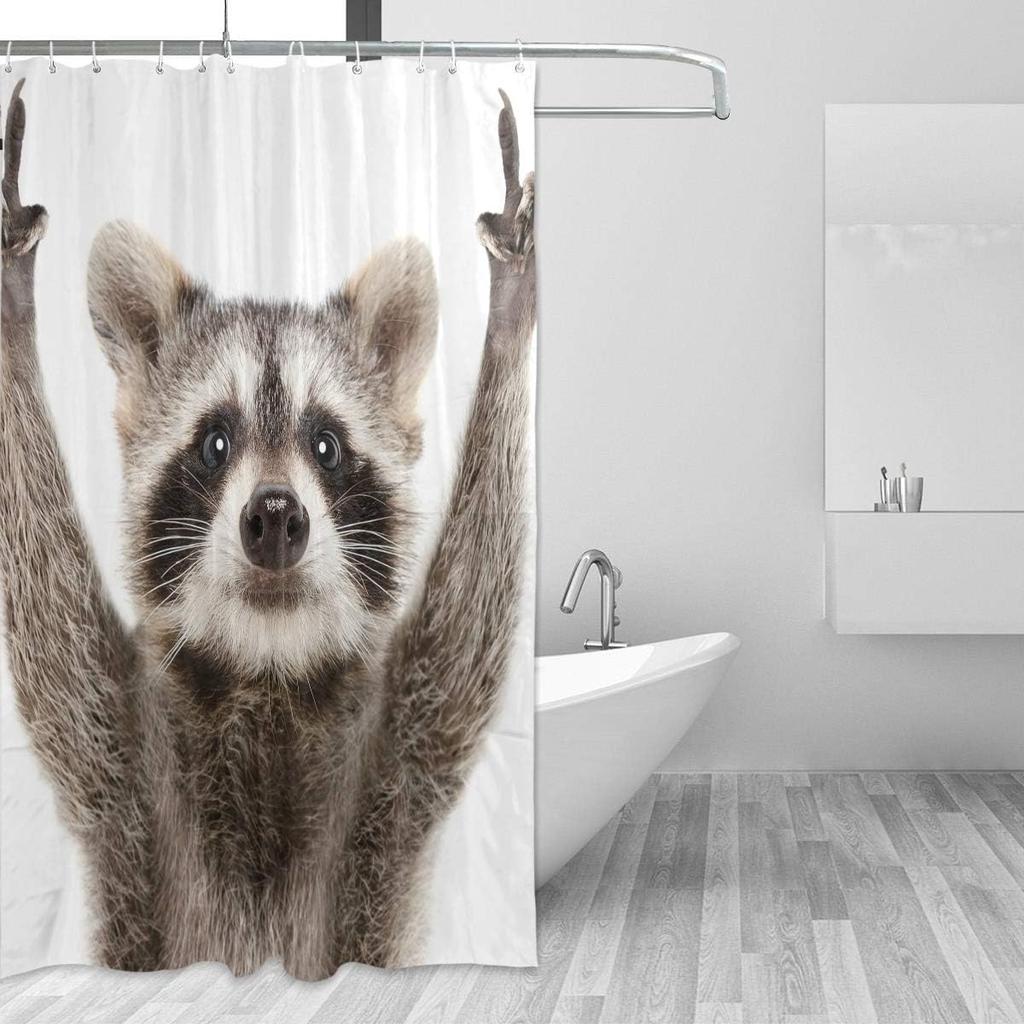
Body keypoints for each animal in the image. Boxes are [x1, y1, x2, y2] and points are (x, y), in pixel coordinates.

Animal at [1, 80, 536, 978]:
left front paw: (510, 317)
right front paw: (11, 309)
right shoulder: (123, 758)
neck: (268, 671)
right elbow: (48, 615)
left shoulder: (397, 760)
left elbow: (467, 627)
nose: (277, 518)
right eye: (216, 442)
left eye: (326, 444)